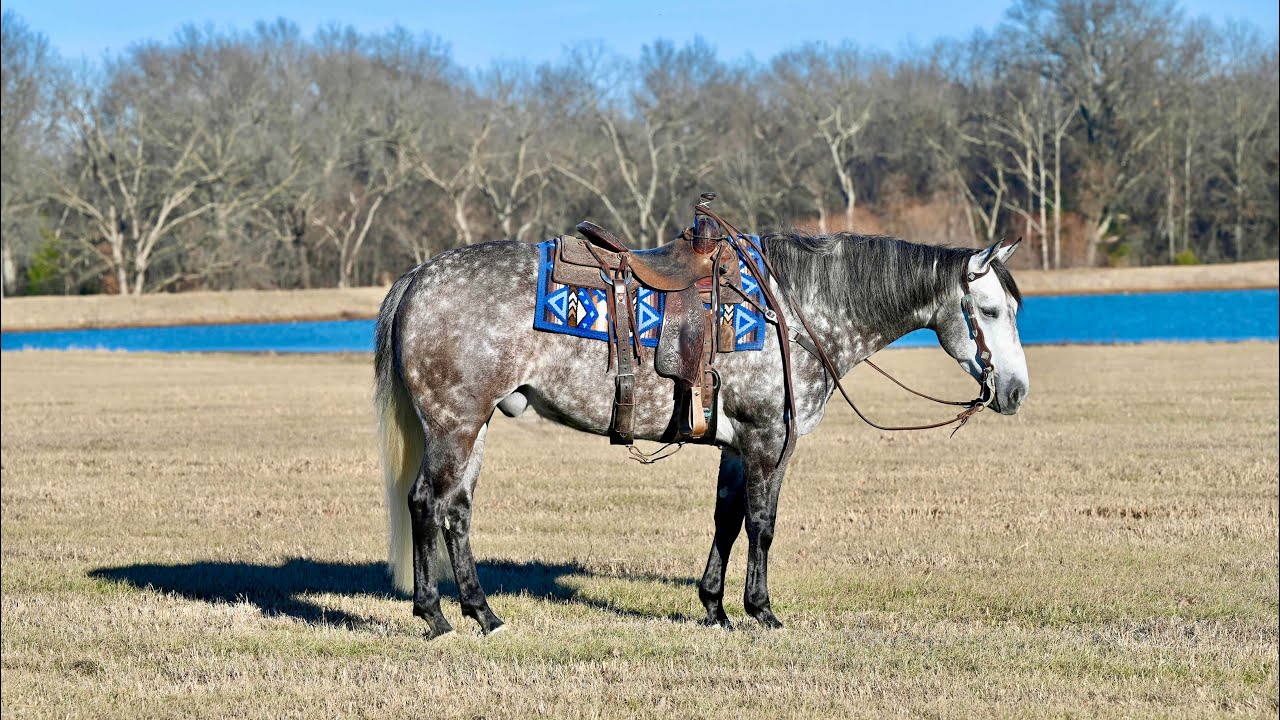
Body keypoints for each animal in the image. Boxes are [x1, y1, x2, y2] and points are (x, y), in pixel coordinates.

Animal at [374, 229, 1028, 638]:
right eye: (991, 310)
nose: (1017, 391)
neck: (795, 311)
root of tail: (419, 276)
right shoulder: (769, 440)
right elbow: (762, 524)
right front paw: (761, 610)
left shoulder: (737, 448)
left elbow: (728, 520)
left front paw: (714, 607)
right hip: (453, 426)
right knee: (425, 504)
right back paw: (434, 615)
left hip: (473, 427)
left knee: (457, 510)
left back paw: (483, 613)